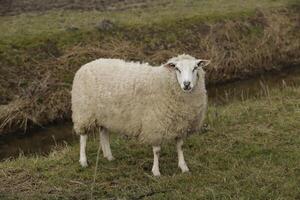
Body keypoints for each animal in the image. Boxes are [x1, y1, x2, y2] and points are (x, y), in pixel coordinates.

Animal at [71, 54, 210, 176]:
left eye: (195, 68)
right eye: (177, 68)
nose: (187, 84)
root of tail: (87, 65)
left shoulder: (181, 124)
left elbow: (180, 147)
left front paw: (183, 167)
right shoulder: (155, 125)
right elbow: (157, 151)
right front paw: (156, 171)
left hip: (105, 115)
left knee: (104, 133)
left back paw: (109, 156)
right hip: (84, 112)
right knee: (83, 137)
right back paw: (83, 161)